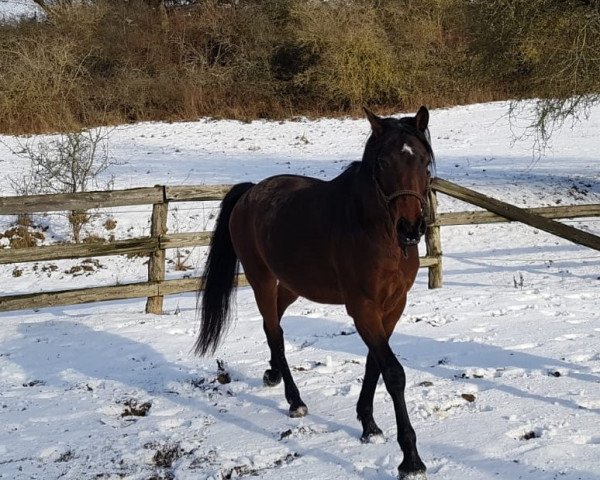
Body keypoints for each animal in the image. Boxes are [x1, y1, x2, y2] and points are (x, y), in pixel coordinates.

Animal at [195, 108, 434, 480]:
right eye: (383, 162)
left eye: (423, 160)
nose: (410, 228)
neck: (374, 229)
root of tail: (250, 193)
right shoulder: (363, 307)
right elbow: (393, 373)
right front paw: (410, 459)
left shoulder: (393, 306)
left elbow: (374, 364)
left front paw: (368, 426)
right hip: (261, 279)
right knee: (275, 331)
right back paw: (295, 401)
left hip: (292, 285)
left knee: (273, 325)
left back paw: (272, 374)